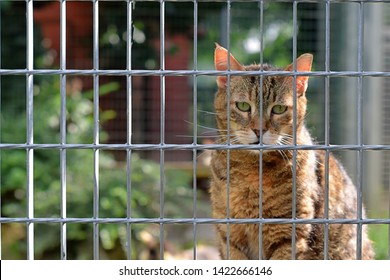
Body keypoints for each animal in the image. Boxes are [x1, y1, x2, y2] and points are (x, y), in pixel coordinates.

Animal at [207, 43, 374, 260]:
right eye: (243, 106)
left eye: (279, 109)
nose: (259, 130)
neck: (252, 174)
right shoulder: (230, 235)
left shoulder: (289, 233)